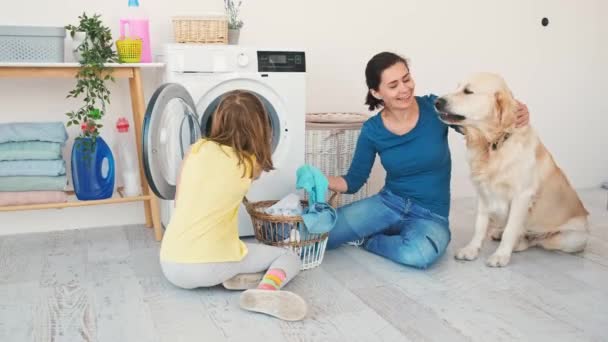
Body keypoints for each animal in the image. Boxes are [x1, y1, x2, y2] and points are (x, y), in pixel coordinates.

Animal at [436, 73, 588, 268]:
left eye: (468, 91)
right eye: (457, 87)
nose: (437, 102)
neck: (493, 144)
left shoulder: (522, 195)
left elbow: (511, 229)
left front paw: (500, 256)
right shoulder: (483, 192)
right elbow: (479, 225)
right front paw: (471, 249)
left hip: (571, 238)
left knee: (533, 239)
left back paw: (517, 243)